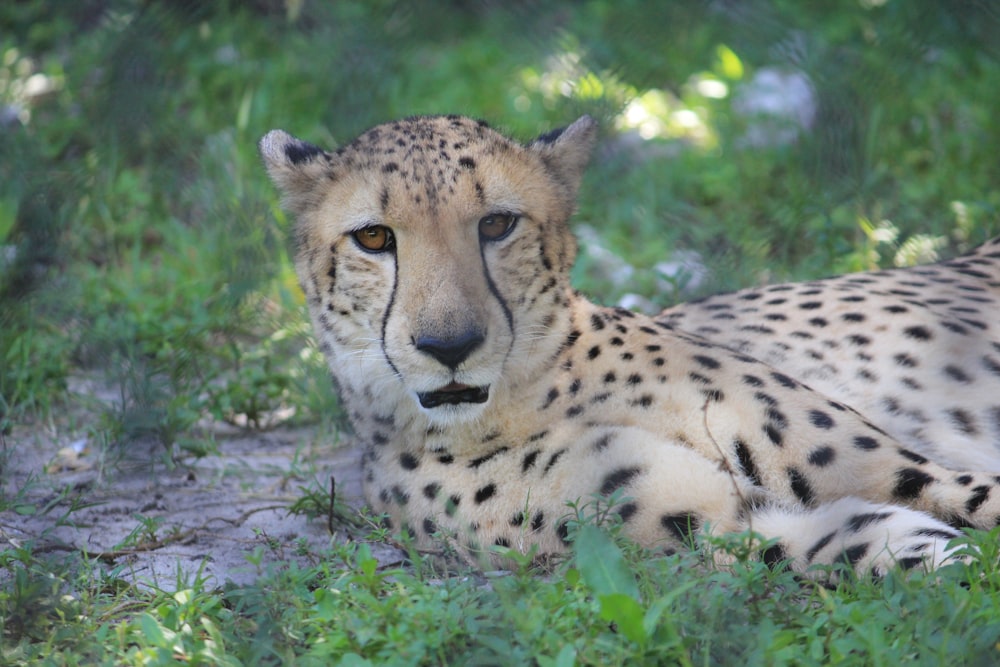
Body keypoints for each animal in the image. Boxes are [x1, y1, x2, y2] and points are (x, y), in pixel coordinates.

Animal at [262, 115, 1000, 576]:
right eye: (374, 237)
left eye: (497, 224)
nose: (450, 345)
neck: (529, 397)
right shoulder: (730, 529)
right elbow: (910, 553)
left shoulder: (910, 472)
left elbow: (974, 503)